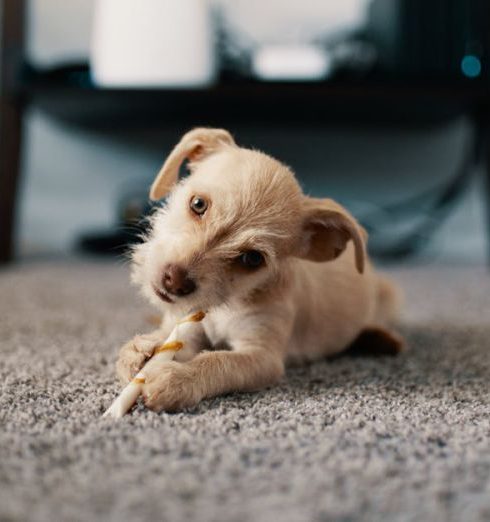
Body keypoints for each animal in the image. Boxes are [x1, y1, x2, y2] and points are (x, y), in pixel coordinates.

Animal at [116, 127, 402, 410]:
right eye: (198, 204)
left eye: (252, 259)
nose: (174, 282)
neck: (226, 305)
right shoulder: (188, 327)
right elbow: (171, 340)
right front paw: (142, 350)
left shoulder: (262, 356)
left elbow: (219, 362)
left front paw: (177, 377)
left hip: (388, 295)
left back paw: (381, 339)